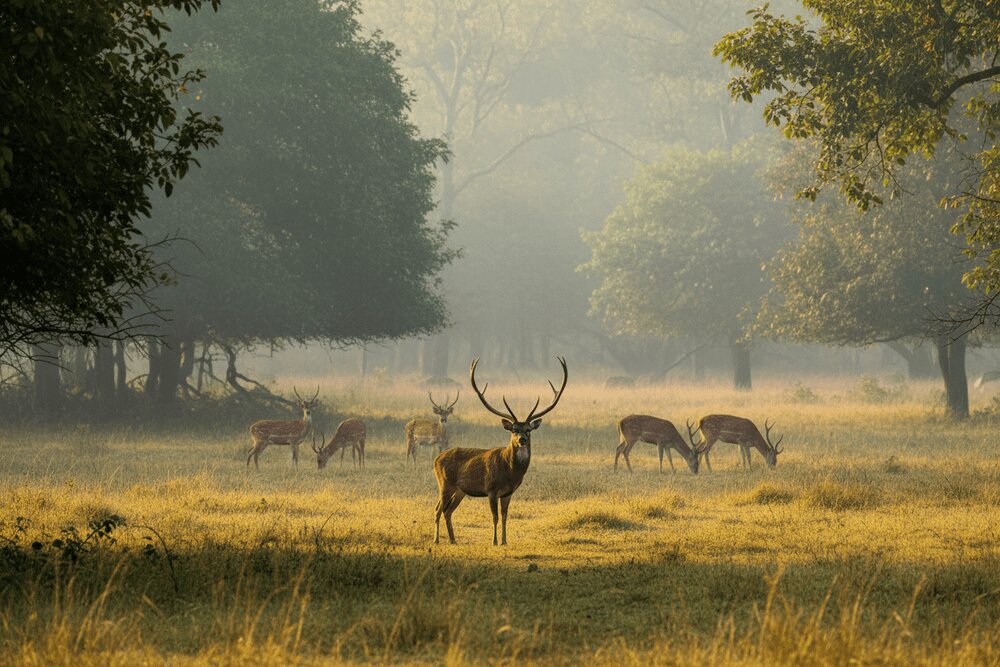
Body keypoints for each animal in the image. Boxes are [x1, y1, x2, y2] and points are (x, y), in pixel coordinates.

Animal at [434, 357, 567, 546]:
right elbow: (495, 517)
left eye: (528, 429)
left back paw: (453, 540)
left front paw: (505, 541)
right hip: (444, 483)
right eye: (514, 429)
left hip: (460, 490)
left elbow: (505, 517)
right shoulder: (491, 489)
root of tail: (437, 459)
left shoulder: (508, 493)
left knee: (448, 510)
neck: (510, 473)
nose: (522, 439)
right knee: (438, 509)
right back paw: (437, 539)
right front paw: (494, 541)